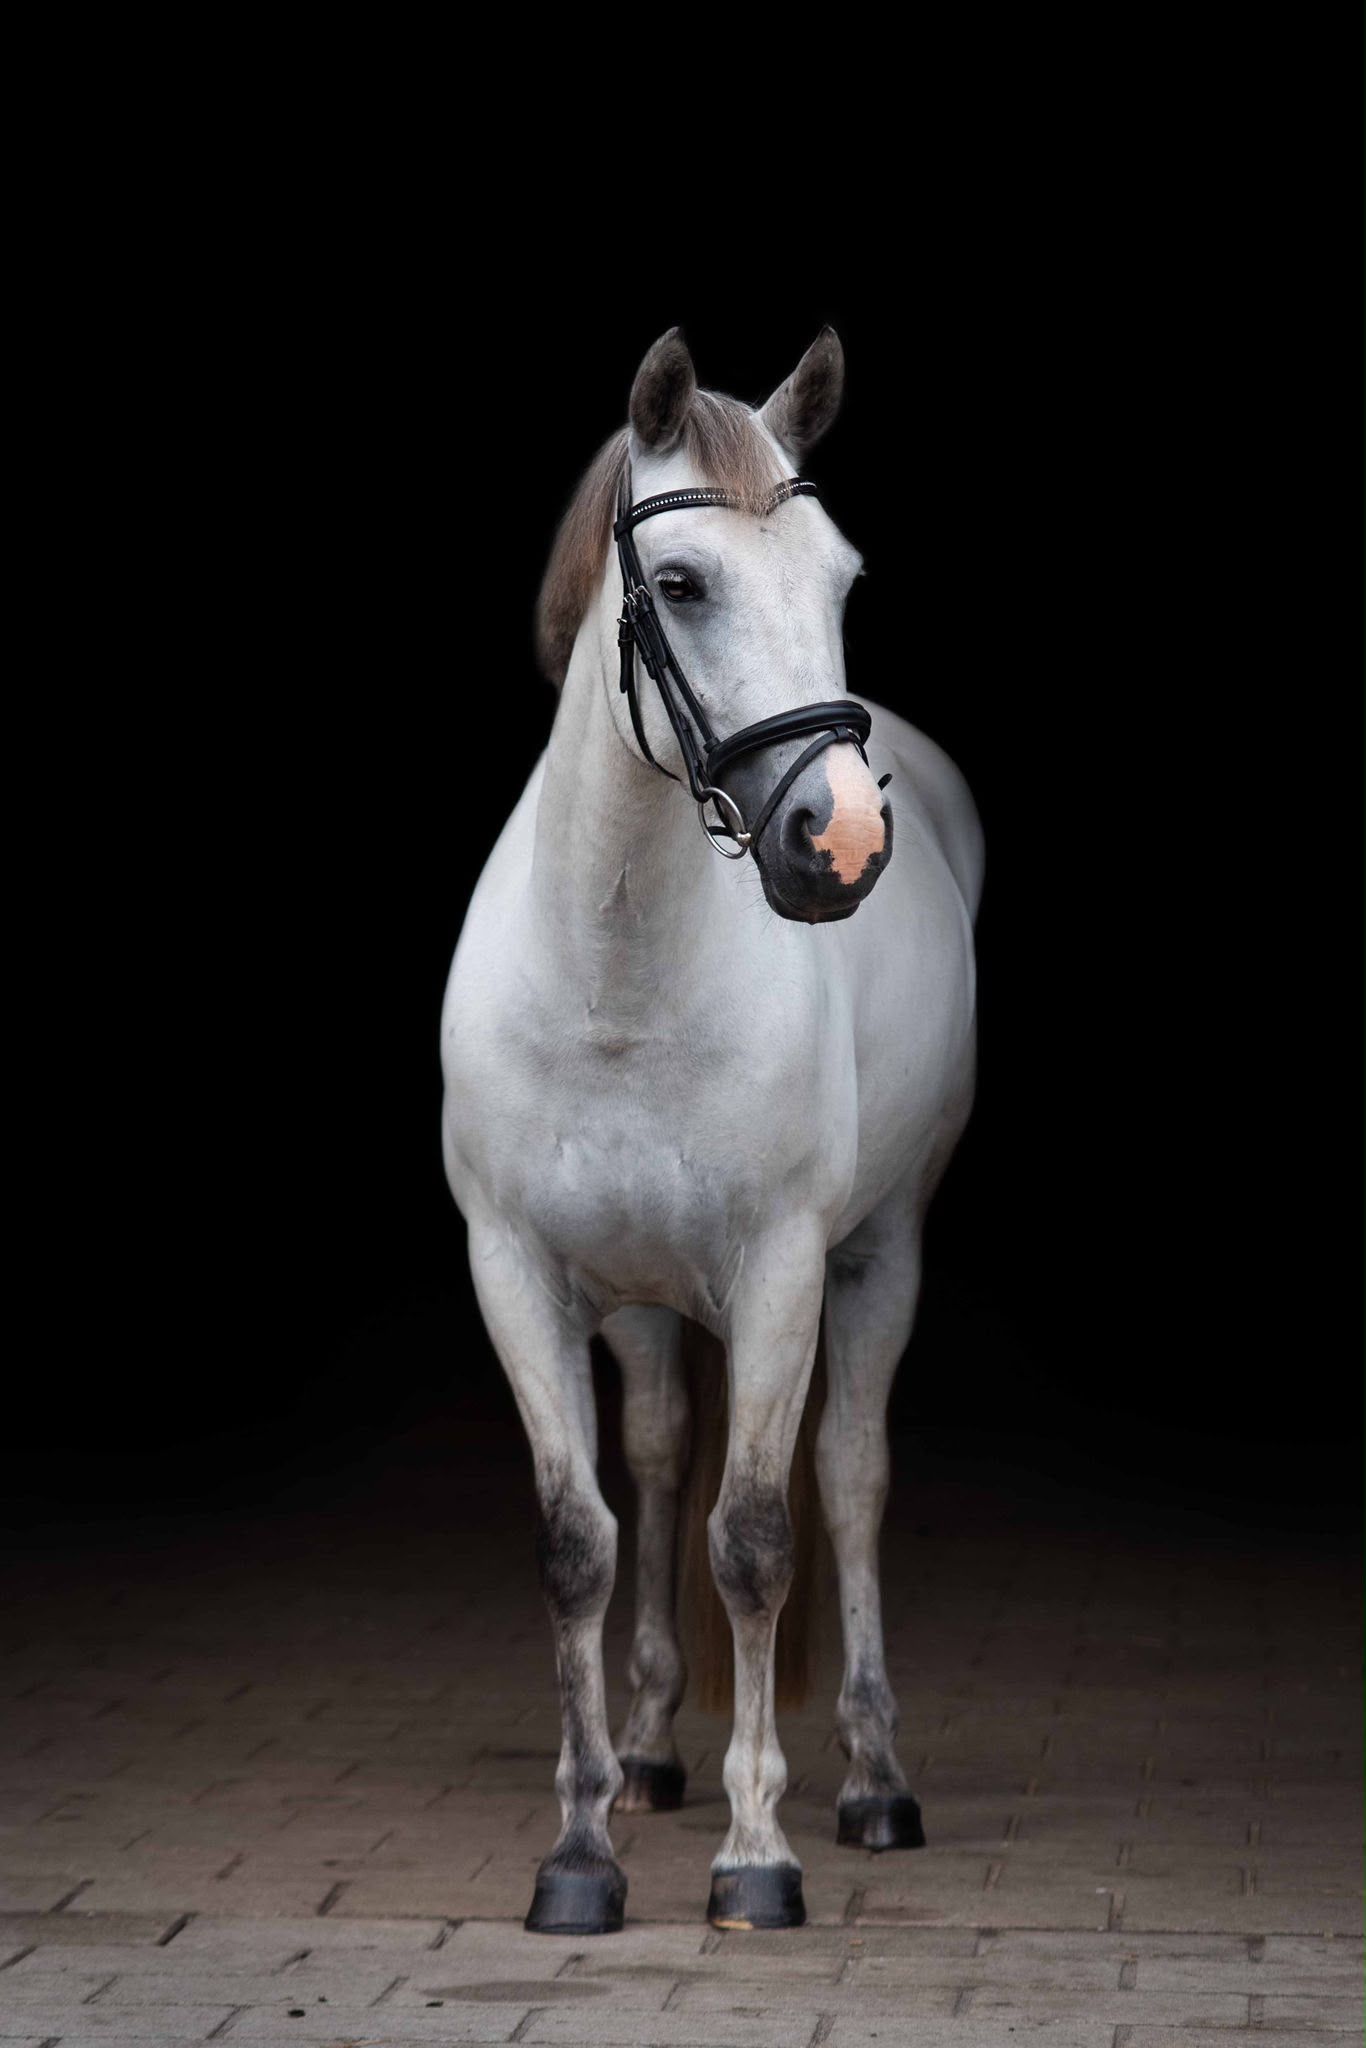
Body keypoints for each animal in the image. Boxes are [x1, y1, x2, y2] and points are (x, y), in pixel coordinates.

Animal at [440, 327, 983, 1935]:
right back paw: (645, 1754)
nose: (840, 841)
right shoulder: (517, 1272)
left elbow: (757, 1542)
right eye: (679, 585)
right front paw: (578, 1853)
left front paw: (758, 1856)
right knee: (666, 1458)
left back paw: (869, 1783)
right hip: (637, 1301)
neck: (617, 976)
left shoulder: (783, 1267)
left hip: (876, 1257)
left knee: (850, 1481)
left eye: (843, 579)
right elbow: (580, 1541)